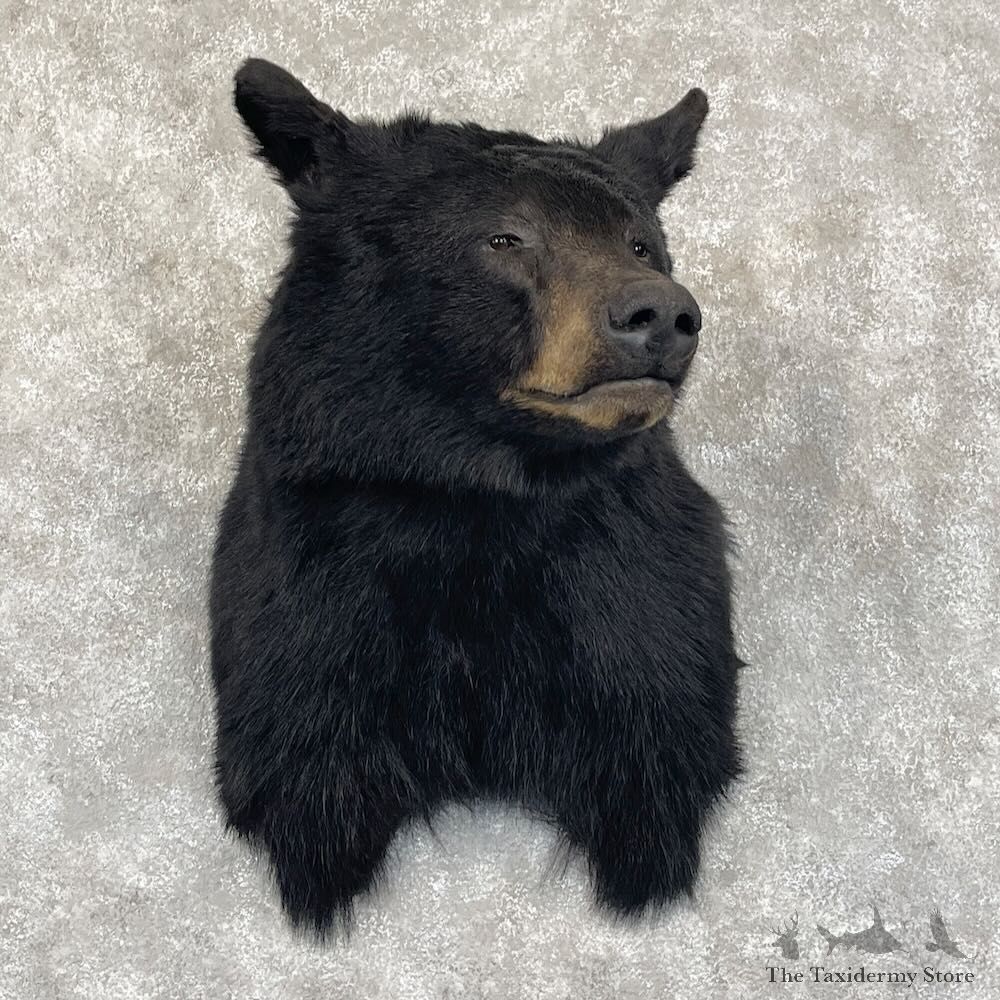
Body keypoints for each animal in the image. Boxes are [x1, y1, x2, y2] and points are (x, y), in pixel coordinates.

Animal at [210, 57, 743, 935]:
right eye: (505, 238)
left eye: (643, 242)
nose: (664, 311)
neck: (484, 488)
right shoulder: (311, 573)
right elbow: (305, 743)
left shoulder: (636, 579)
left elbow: (659, 714)